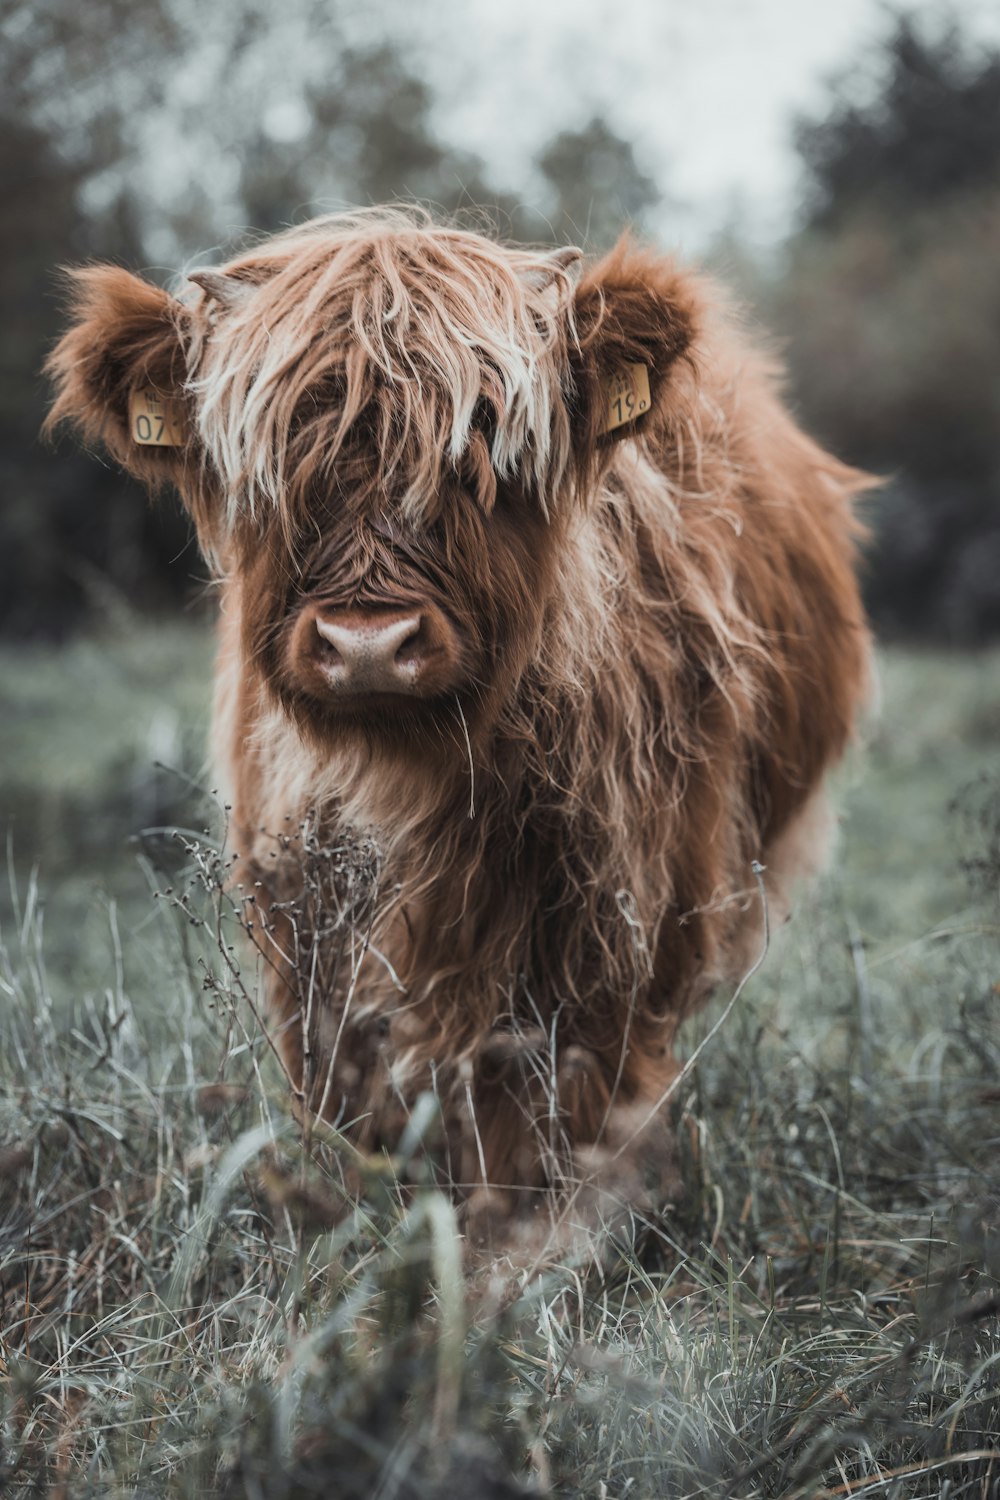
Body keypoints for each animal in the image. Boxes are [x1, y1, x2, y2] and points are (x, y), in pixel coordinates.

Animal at [46, 211, 869, 1236]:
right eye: (268, 456)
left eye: (483, 440)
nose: (366, 644)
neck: (410, 775)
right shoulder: (301, 930)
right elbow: (351, 1098)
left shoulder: (613, 929)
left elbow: (543, 1125)